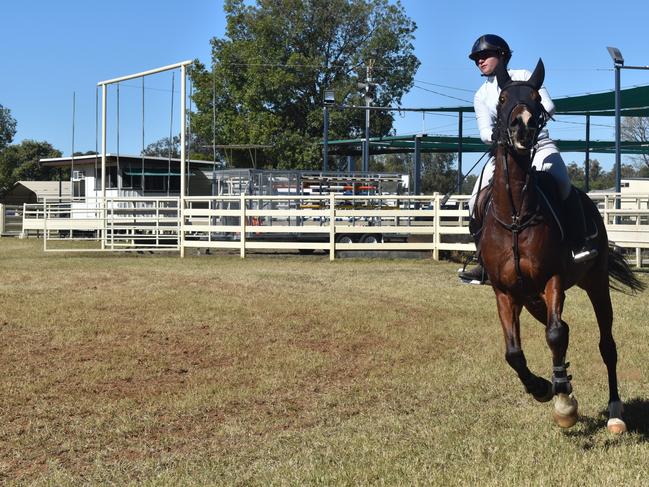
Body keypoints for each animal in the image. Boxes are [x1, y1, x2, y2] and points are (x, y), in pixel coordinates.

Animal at [476, 58, 644, 434]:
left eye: (536, 98)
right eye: (503, 98)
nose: (523, 127)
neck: (516, 215)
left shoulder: (551, 279)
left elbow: (554, 335)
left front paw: (564, 402)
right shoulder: (504, 291)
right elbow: (514, 352)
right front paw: (543, 387)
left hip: (595, 282)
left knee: (606, 345)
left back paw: (614, 412)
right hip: (531, 297)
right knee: (560, 330)